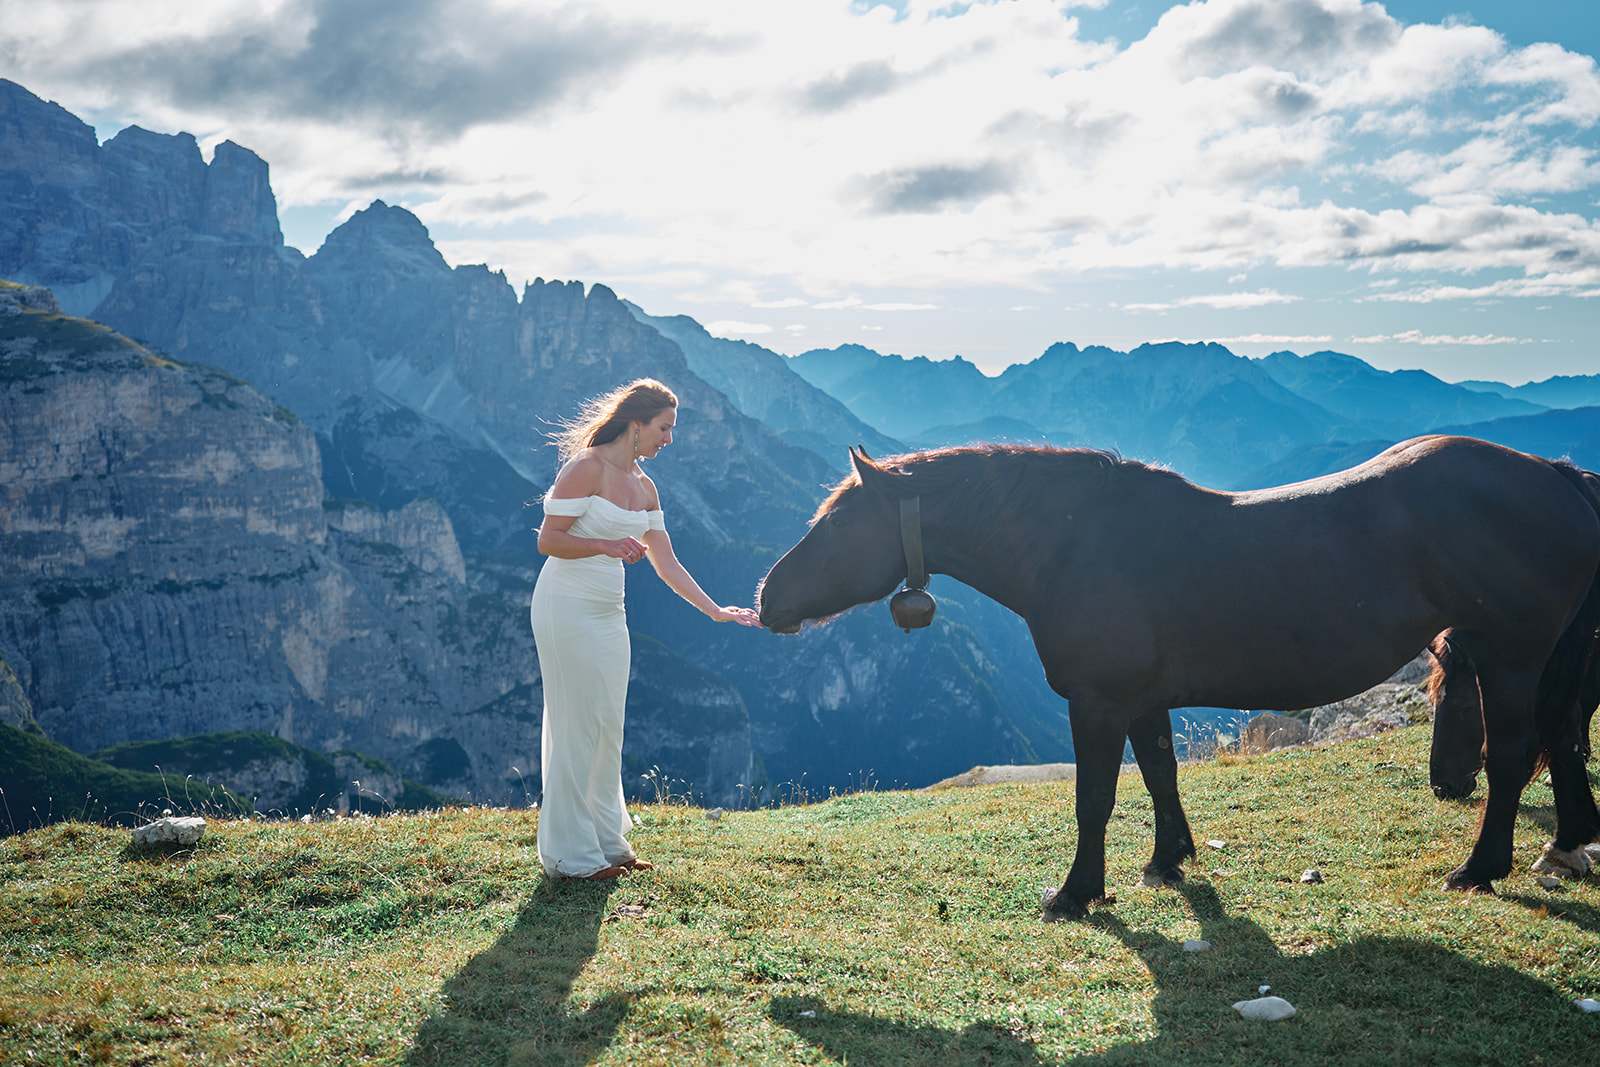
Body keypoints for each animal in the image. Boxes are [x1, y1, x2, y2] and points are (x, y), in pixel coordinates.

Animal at [757, 436, 1600, 917]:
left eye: (838, 521)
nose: (768, 596)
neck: (1075, 543)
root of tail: (1556, 475)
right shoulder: (1143, 699)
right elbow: (1161, 773)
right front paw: (1167, 861)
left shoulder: (1097, 703)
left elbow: (1094, 798)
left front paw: (1075, 891)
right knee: (1560, 739)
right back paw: (1562, 842)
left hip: (1509, 658)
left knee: (1515, 753)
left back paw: (1480, 868)